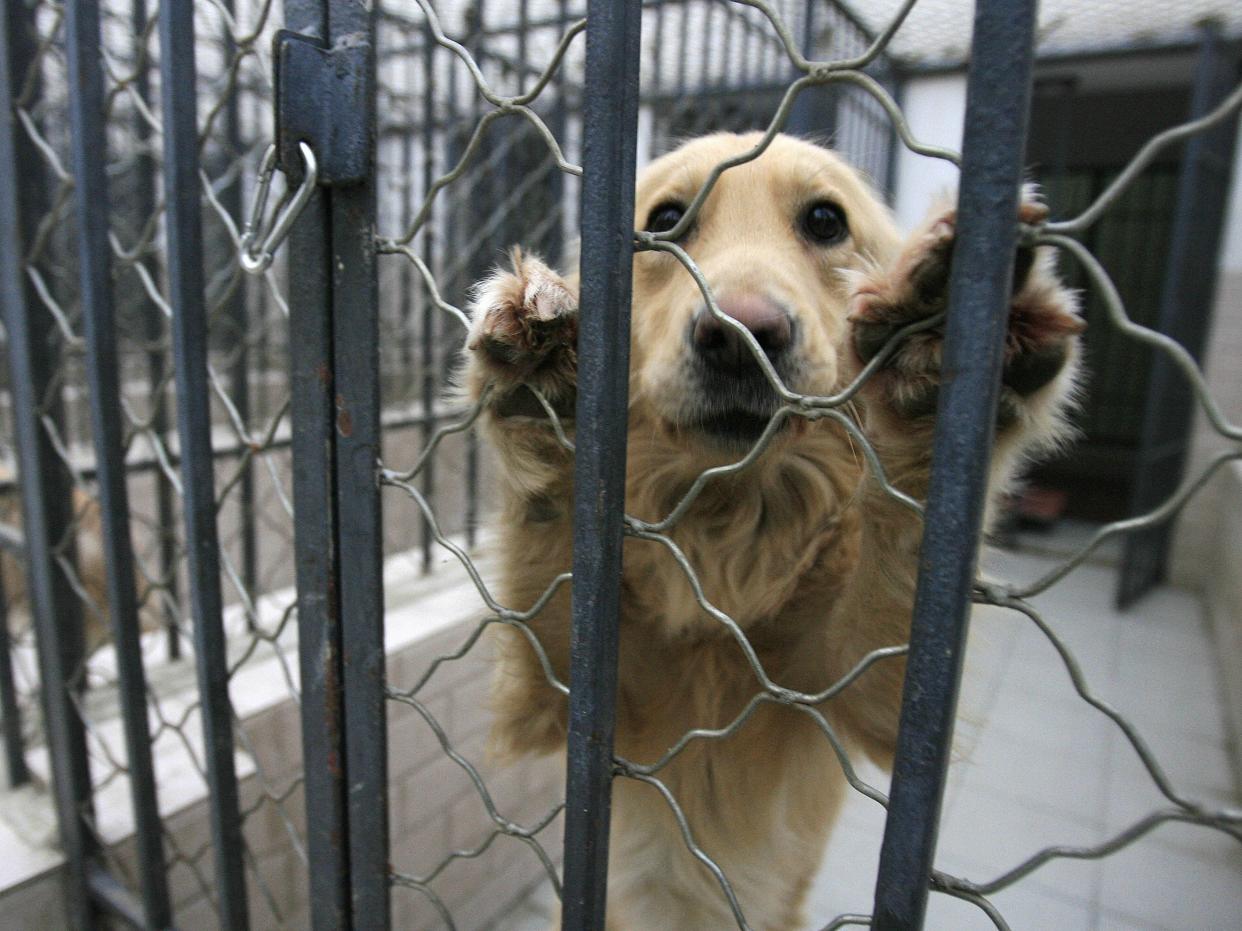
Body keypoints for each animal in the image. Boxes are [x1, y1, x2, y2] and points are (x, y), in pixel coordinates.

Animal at [462, 132, 1083, 931]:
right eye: (666, 220)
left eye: (824, 219)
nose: (740, 337)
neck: (729, 534)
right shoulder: (563, 695)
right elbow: (547, 529)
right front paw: (537, 386)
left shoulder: (871, 691)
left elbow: (907, 541)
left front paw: (931, 363)